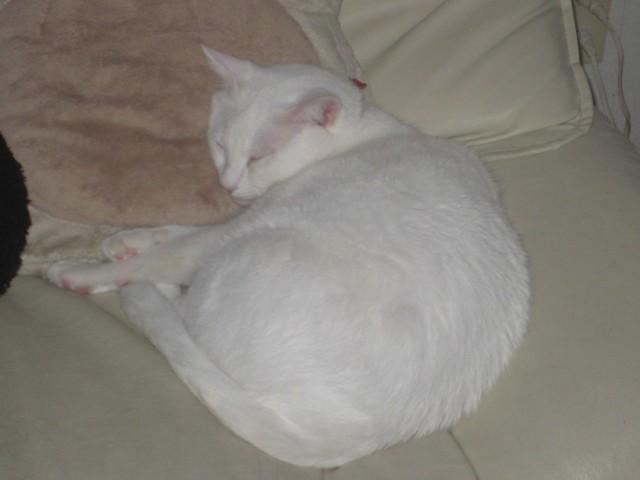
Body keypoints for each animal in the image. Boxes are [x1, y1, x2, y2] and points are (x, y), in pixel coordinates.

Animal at [46, 46, 530, 467]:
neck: (361, 135)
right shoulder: (242, 218)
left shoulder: (242, 228)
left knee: (175, 309)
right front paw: (126, 239)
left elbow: (171, 253)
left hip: (247, 255)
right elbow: (181, 232)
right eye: (219, 145)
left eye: (258, 157)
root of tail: (357, 433)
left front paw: (85, 269)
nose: (227, 183)